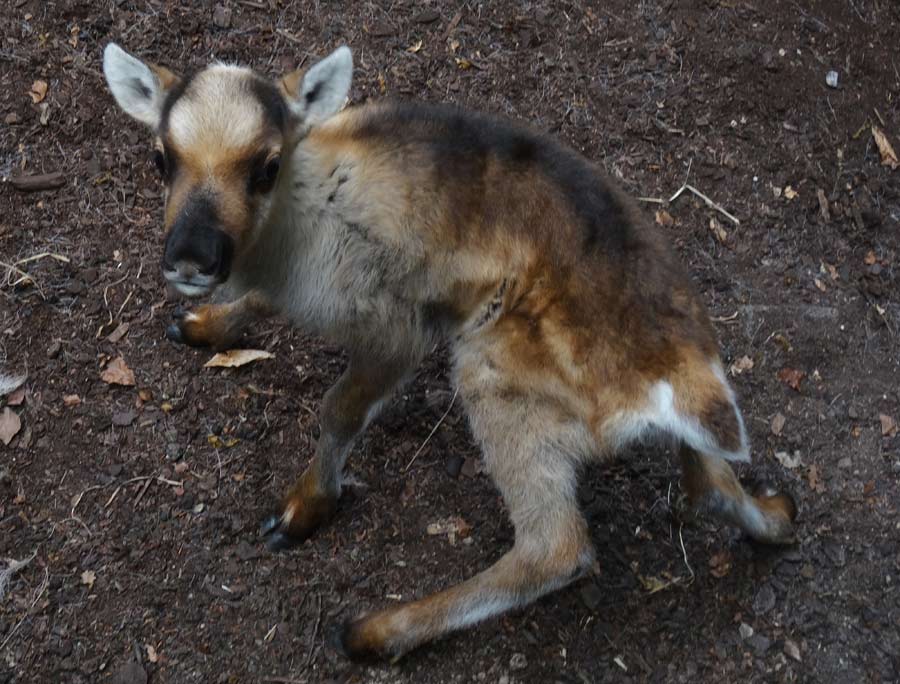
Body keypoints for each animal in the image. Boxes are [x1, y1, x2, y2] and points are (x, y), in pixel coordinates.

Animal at [102, 41, 800, 656]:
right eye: (161, 157)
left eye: (265, 165)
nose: (191, 258)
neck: (297, 231)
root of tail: (680, 379)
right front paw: (203, 326)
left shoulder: (397, 329)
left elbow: (338, 411)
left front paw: (300, 511)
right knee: (708, 476)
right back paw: (777, 512)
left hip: (495, 380)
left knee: (558, 548)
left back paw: (374, 632)